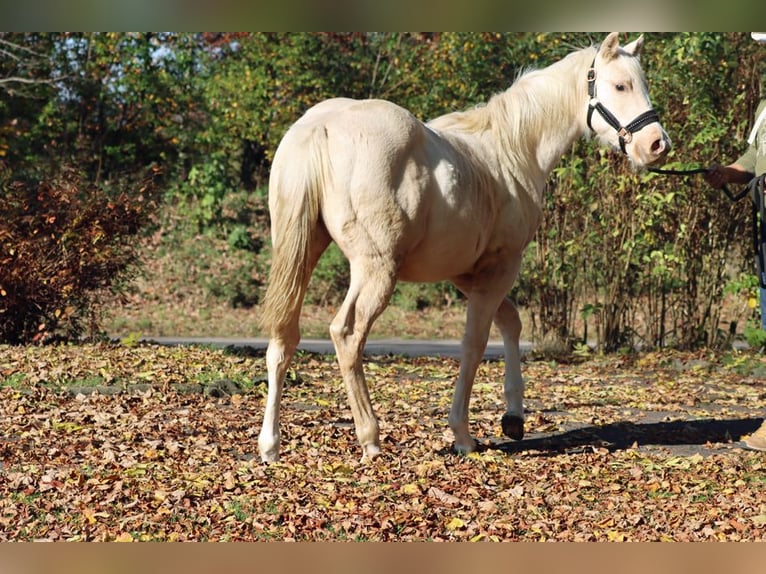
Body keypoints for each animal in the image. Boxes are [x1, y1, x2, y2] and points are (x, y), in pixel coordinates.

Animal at [256, 32, 664, 464]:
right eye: (620, 85)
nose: (657, 144)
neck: (511, 151)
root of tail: (320, 127)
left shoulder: (466, 274)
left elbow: (510, 322)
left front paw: (513, 418)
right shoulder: (499, 269)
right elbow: (475, 344)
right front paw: (463, 435)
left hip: (304, 256)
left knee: (283, 338)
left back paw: (271, 444)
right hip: (376, 271)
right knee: (347, 335)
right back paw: (370, 438)